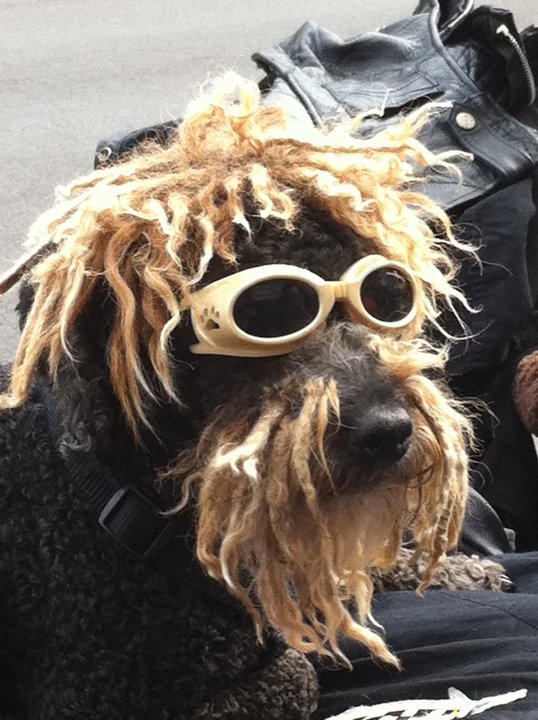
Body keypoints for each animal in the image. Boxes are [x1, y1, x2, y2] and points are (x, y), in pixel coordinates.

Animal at [0, 76, 507, 719]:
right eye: (268, 311)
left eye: (388, 293)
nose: (391, 431)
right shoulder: (84, 694)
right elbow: (296, 668)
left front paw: (454, 571)